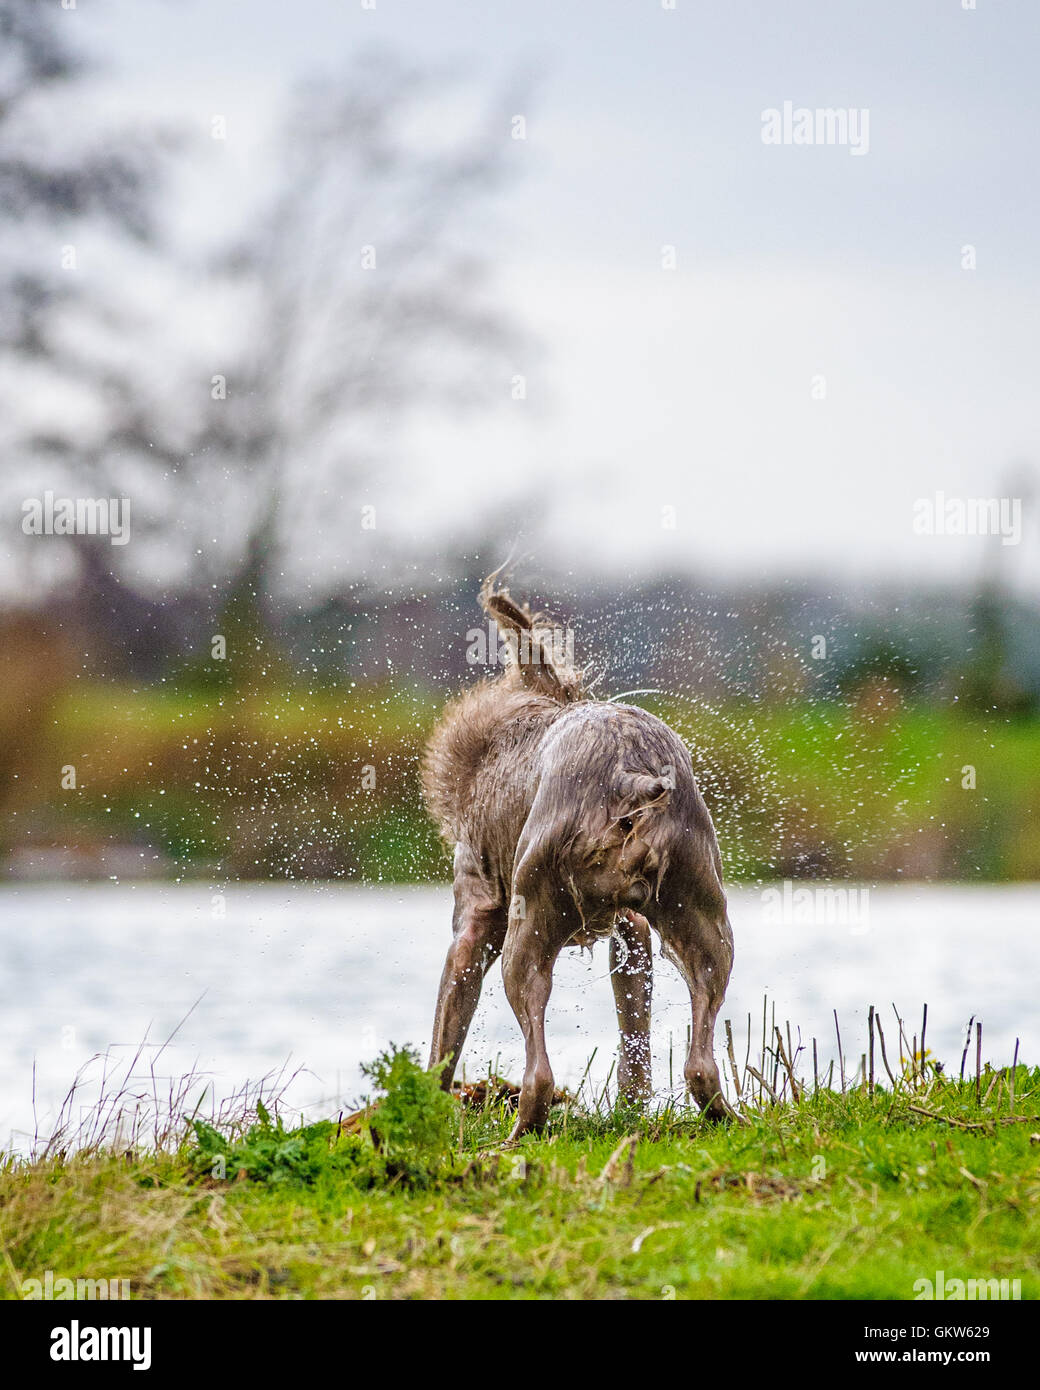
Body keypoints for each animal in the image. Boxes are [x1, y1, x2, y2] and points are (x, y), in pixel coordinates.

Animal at [419, 581, 728, 1134]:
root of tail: (629, 772)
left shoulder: (473, 919)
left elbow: (443, 1033)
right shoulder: (632, 926)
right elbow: (634, 1025)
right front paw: (631, 1108)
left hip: (528, 928)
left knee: (538, 1072)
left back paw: (517, 1135)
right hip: (701, 912)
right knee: (700, 1061)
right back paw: (728, 1117)